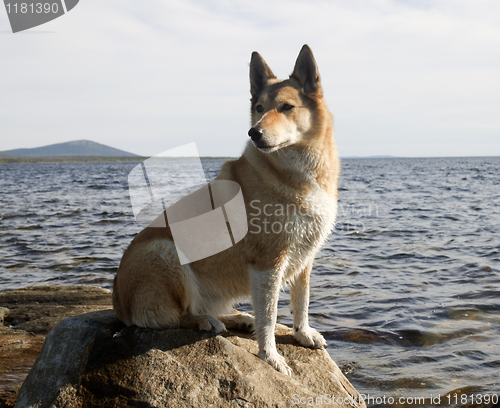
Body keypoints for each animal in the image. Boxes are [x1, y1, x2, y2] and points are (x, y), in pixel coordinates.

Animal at [113, 45, 340, 376]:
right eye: (259, 107)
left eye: (287, 107)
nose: (254, 133)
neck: (292, 172)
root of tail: (117, 301)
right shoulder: (268, 263)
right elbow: (269, 316)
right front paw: (271, 356)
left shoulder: (304, 257)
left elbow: (302, 300)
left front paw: (303, 333)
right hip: (166, 253)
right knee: (177, 315)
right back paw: (207, 321)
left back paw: (238, 318)